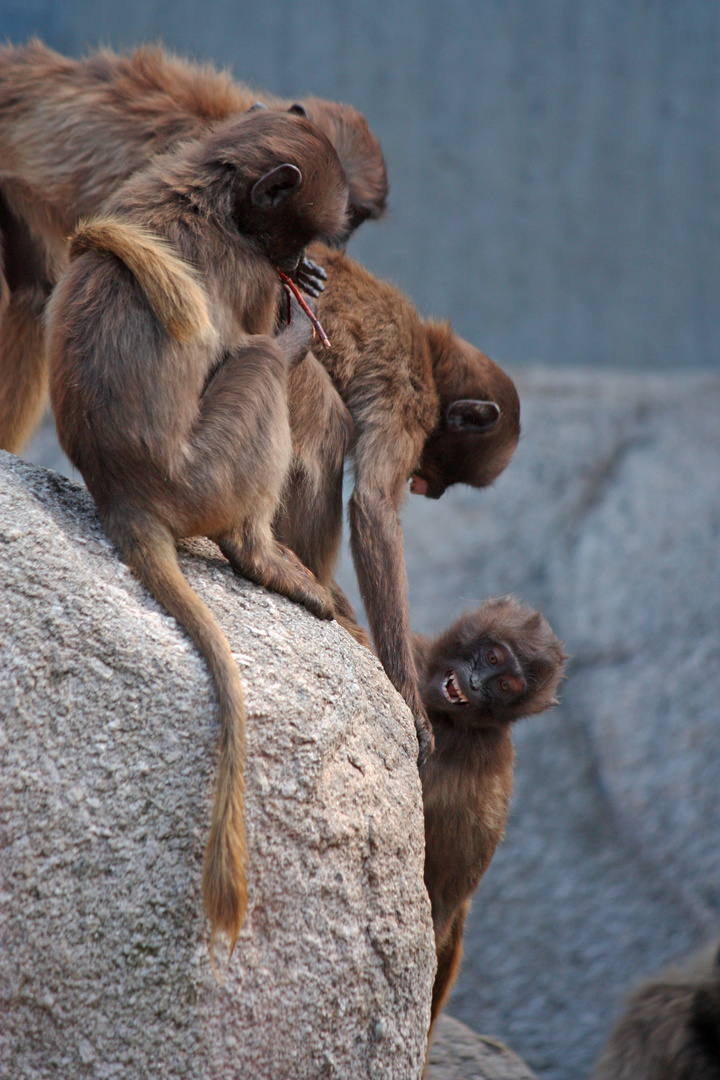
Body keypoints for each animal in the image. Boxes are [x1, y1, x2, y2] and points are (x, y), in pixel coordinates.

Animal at [44, 105, 349, 959]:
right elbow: (257, 337)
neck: (209, 192)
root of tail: (125, 495)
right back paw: (265, 558)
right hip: (213, 473)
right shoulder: (245, 272)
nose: (303, 263)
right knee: (257, 371)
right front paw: (296, 327)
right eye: (301, 235)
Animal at [273, 248, 520, 764]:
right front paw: (409, 696)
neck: (429, 353)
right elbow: (373, 503)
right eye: (453, 476)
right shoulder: (410, 398)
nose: (435, 492)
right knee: (327, 426)